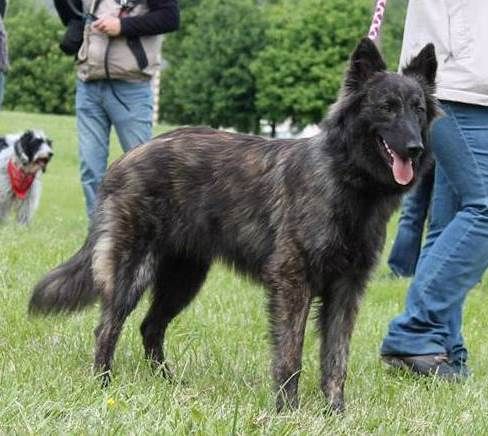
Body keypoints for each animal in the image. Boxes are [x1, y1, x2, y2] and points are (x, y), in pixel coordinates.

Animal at [29, 38, 438, 412]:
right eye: (386, 108)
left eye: (417, 109)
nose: (415, 149)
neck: (347, 178)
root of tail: (126, 158)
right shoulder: (292, 282)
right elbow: (290, 355)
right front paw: (287, 411)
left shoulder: (346, 289)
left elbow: (336, 359)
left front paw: (335, 413)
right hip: (134, 271)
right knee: (107, 326)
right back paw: (103, 383)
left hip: (184, 279)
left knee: (150, 326)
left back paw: (166, 383)